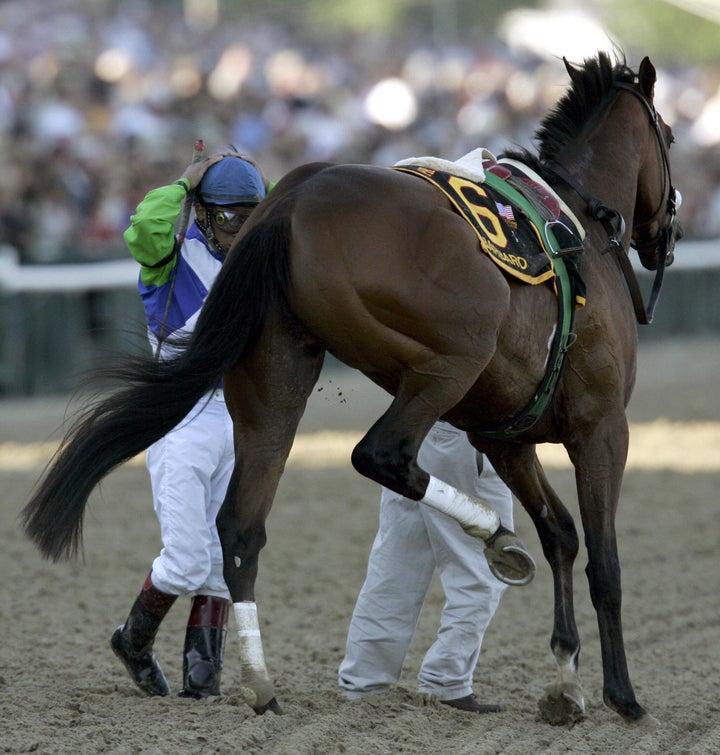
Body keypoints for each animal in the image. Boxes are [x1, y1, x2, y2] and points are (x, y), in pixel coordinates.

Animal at [18, 53, 680, 728]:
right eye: (672, 137)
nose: (664, 233)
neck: (572, 225)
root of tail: (293, 199)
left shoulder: (505, 437)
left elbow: (560, 535)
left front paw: (566, 683)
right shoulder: (600, 427)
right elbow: (602, 561)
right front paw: (622, 695)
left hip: (275, 380)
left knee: (240, 527)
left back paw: (260, 684)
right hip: (451, 361)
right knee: (380, 454)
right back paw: (490, 531)